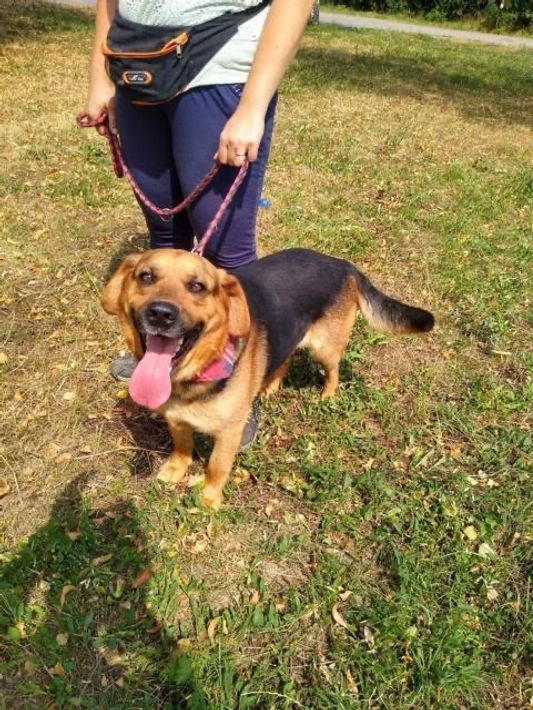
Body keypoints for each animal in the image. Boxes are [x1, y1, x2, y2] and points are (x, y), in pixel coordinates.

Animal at [101, 248, 434, 508]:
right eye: (146, 277)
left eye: (197, 286)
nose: (160, 314)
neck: (197, 371)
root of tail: (344, 265)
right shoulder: (176, 418)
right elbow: (182, 446)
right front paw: (175, 469)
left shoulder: (229, 433)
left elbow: (217, 466)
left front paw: (209, 499)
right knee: (285, 358)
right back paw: (270, 386)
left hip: (324, 348)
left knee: (334, 369)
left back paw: (327, 394)